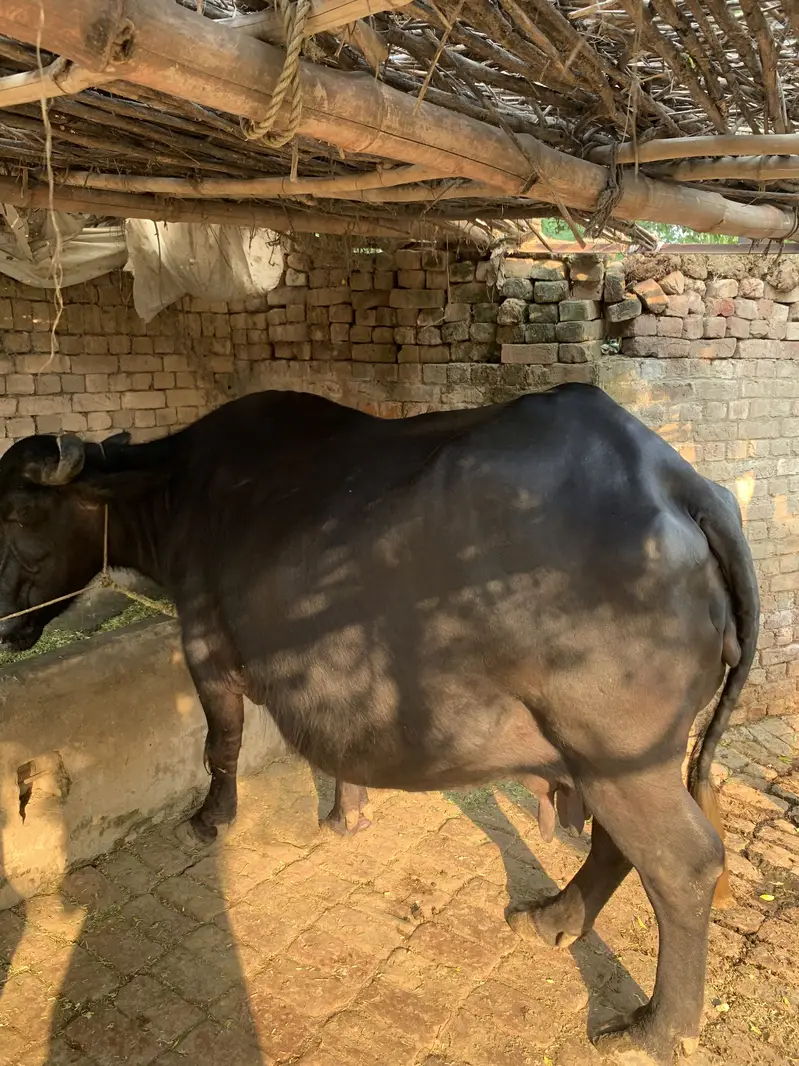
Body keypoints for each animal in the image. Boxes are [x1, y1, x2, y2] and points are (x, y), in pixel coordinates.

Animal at [0, 383, 758, 1064]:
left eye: (20, 508)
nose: (6, 622)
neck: (183, 489)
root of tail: (680, 484)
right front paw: (348, 815)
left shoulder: (206, 646)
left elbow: (220, 743)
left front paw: (212, 819)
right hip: (622, 758)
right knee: (617, 847)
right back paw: (552, 920)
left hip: (614, 753)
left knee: (684, 864)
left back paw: (656, 1030)